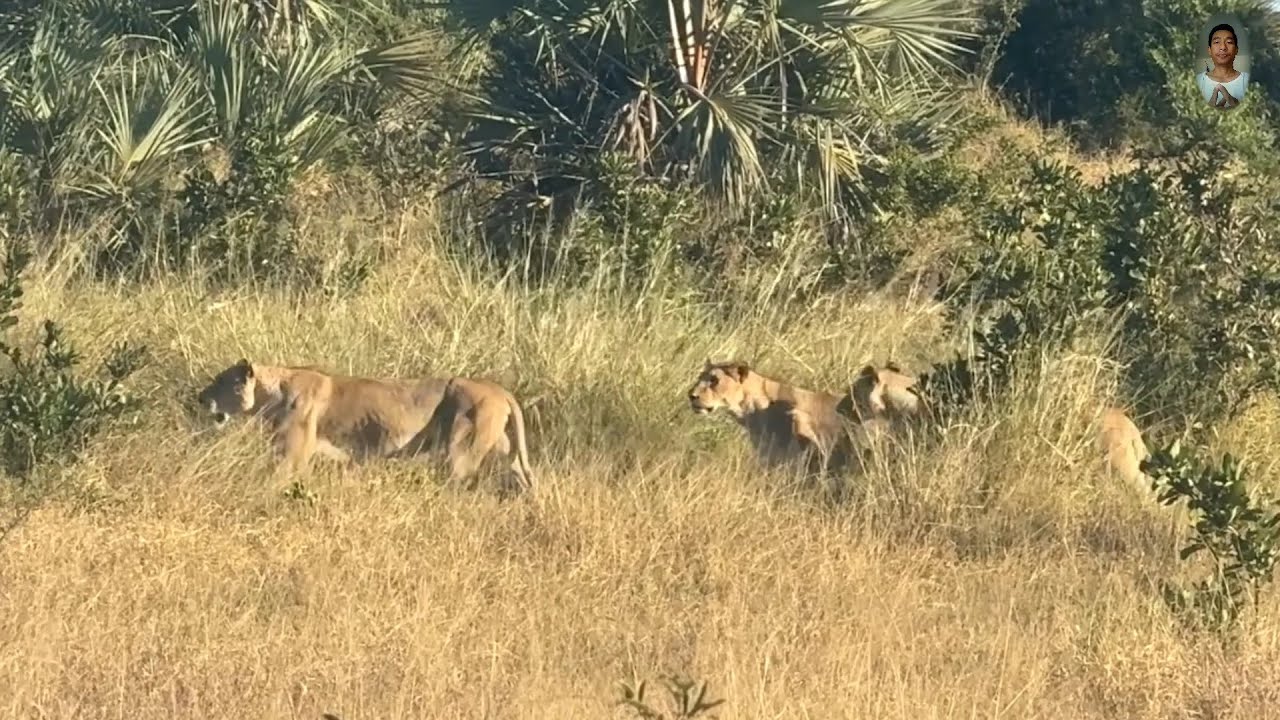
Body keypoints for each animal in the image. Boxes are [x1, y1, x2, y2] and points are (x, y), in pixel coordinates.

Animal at [195, 358, 536, 493]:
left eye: (220, 381)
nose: (200, 398)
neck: (272, 391)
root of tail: (500, 389)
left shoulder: (293, 455)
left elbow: (274, 480)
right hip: (506, 450)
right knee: (525, 477)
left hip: (462, 450)